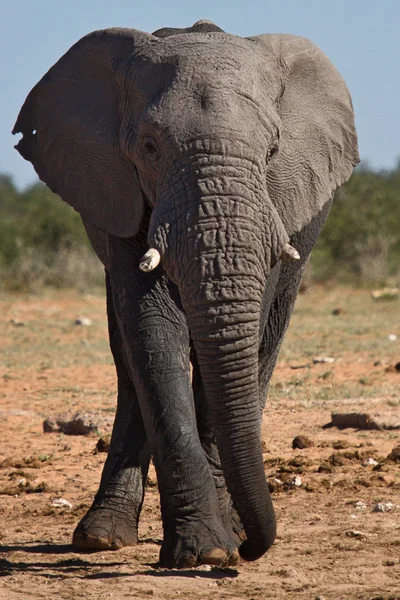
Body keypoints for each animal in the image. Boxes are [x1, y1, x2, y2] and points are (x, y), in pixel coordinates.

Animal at [12, 18, 358, 568]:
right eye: (150, 148)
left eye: (272, 151)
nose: (252, 548)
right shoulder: (121, 191)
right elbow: (152, 332)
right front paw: (205, 552)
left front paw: (219, 545)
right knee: (127, 356)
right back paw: (102, 537)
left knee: (265, 341)